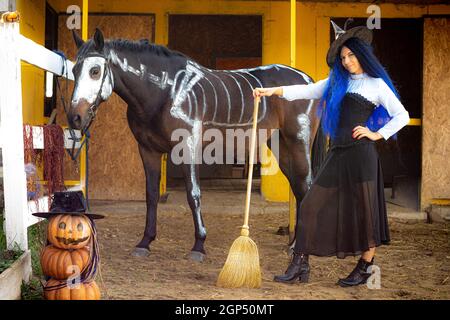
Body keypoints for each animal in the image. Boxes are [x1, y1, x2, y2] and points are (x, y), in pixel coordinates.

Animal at [67, 28, 324, 262]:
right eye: (74, 70)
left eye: (95, 71)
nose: (75, 118)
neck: (165, 92)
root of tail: (308, 81)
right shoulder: (148, 150)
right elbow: (151, 195)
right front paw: (145, 242)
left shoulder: (187, 147)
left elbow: (193, 194)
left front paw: (199, 245)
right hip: (282, 145)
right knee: (299, 188)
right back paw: (293, 245)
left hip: (298, 142)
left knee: (306, 186)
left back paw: (298, 248)